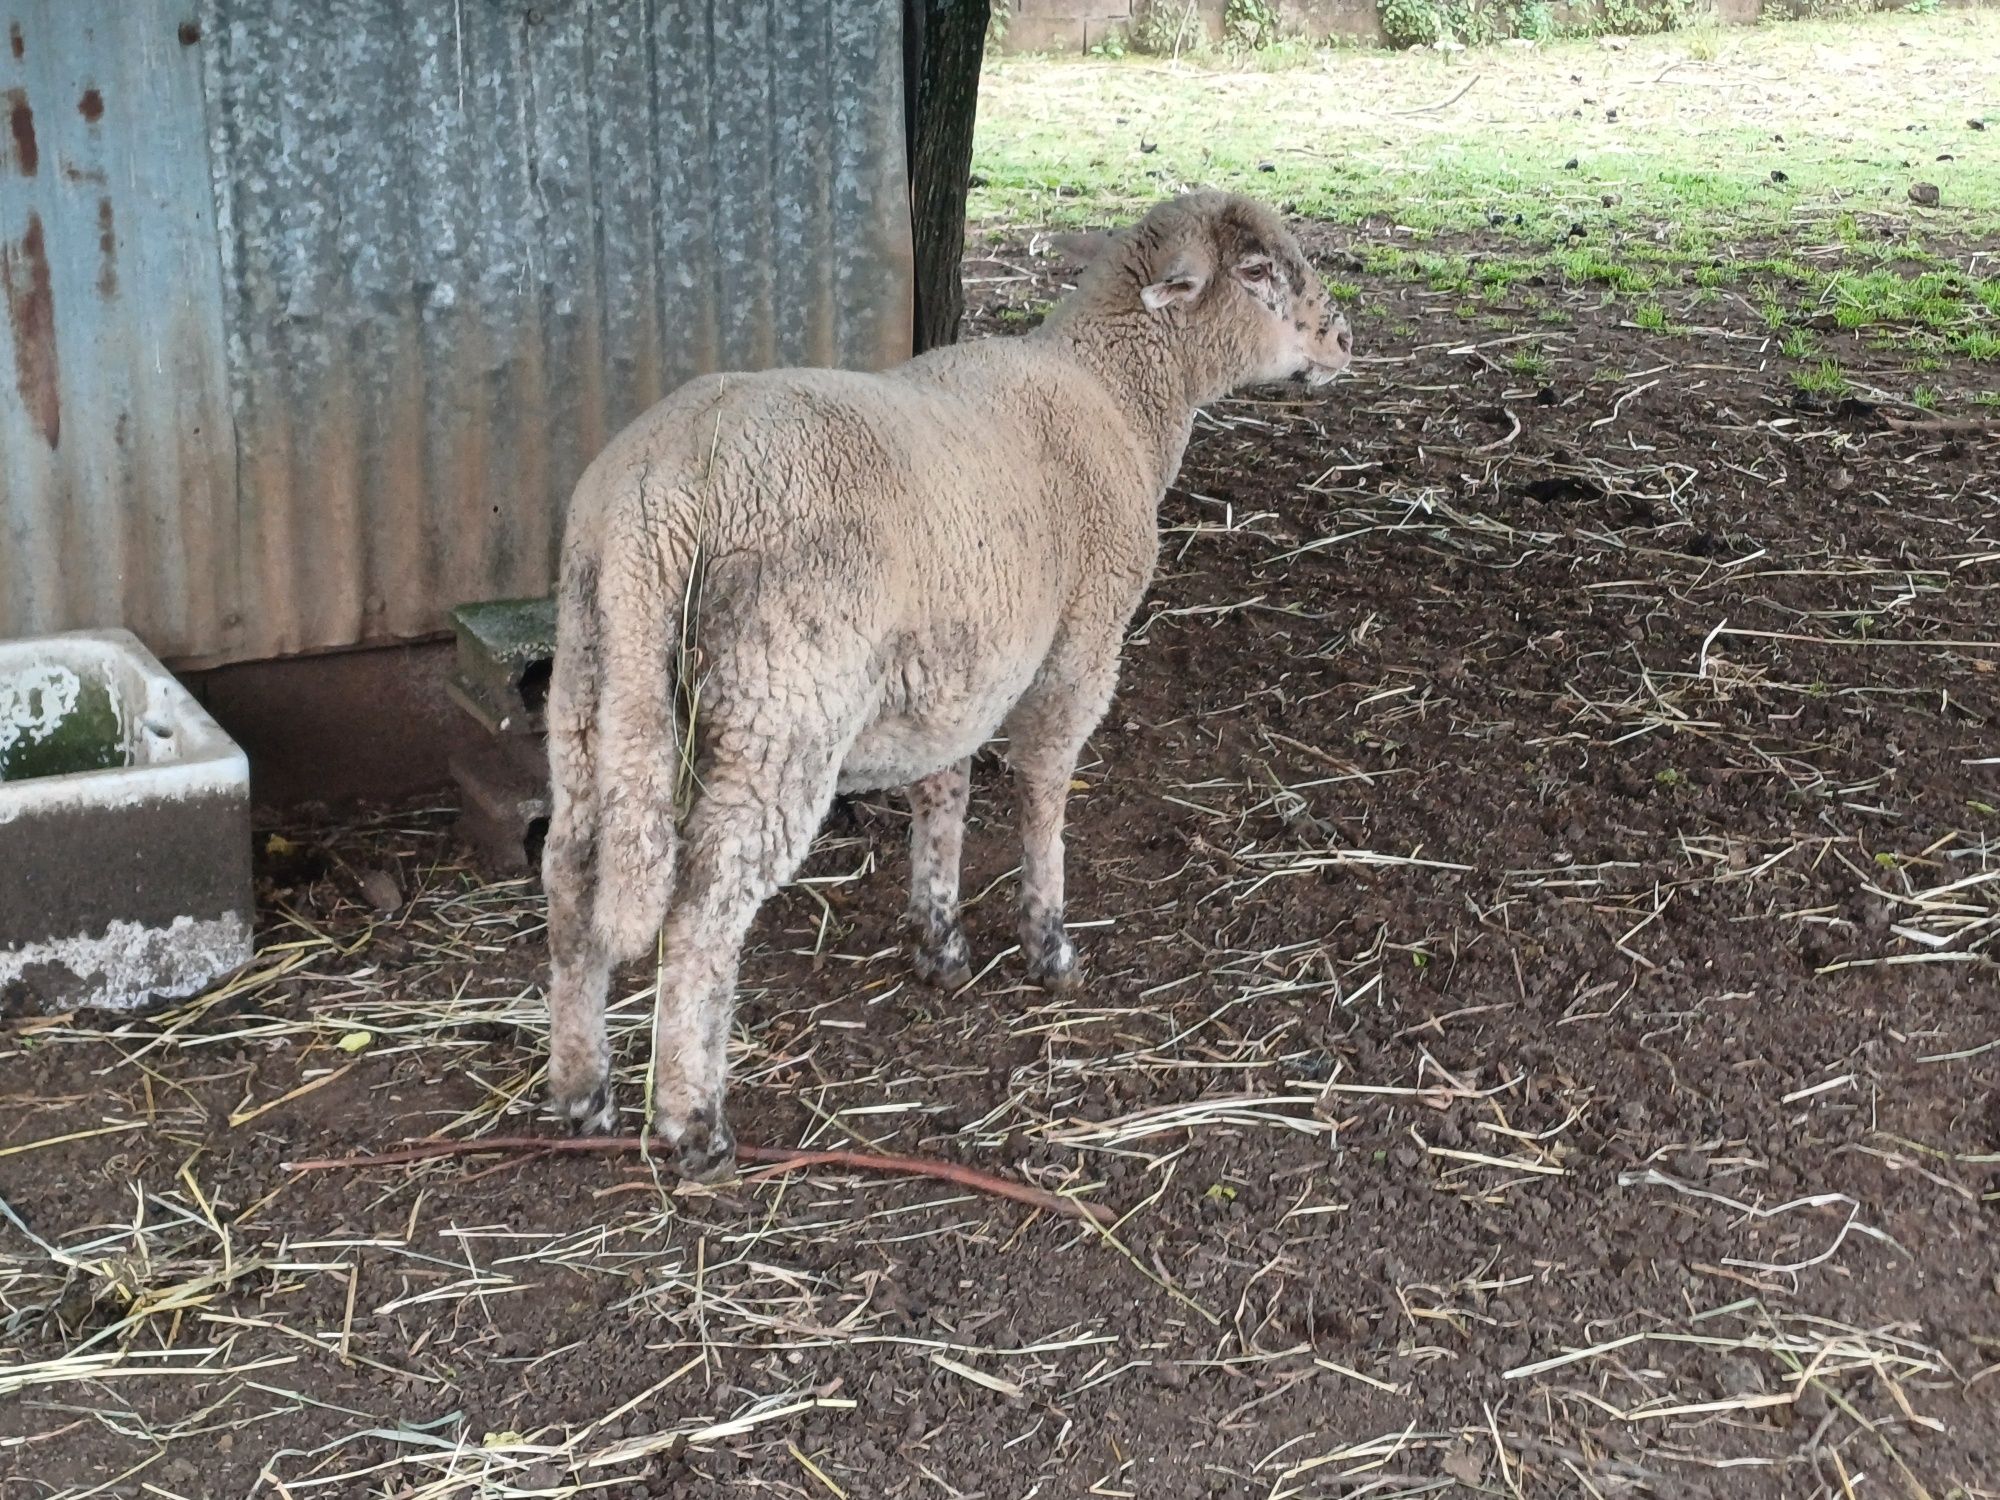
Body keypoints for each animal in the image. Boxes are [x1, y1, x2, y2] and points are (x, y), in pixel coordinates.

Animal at [540, 191, 1352, 1176]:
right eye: (1260, 273)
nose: (1343, 339)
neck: (1119, 394)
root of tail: (657, 500)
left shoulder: (959, 670)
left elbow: (944, 792)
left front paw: (939, 937)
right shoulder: (1082, 642)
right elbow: (1043, 789)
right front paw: (1049, 942)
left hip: (594, 673)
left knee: (571, 873)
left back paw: (582, 1092)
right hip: (782, 696)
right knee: (703, 907)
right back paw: (693, 1123)